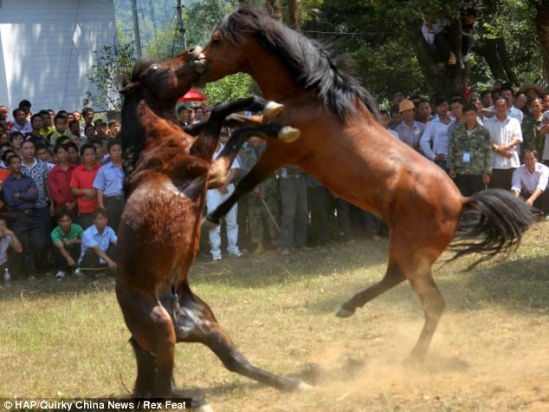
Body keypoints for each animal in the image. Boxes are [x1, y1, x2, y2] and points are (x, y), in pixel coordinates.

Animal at [116, 49, 308, 406]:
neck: (155, 145)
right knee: (163, 389)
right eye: (155, 69)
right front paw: (270, 114)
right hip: (161, 331)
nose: (194, 52)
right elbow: (222, 115)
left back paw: (294, 383)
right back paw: (200, 402)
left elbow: (231, 124)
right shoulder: (209, 167)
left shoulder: (214, 170)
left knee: (236, 362)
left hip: (209, 326)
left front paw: (273, 118)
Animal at [186, 4, 532, 366]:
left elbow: (245, 165)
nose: (197, 67)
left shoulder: (282, 151)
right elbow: (234, 120)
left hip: (412, 250)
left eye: (217, 39)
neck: (311, 97)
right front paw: (202, 144)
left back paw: (412, 357)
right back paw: (349, 307)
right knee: (395, 277)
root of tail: (461, 201)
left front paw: (213, 200)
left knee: (432, 302)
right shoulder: (268, 133)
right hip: (406, 248)